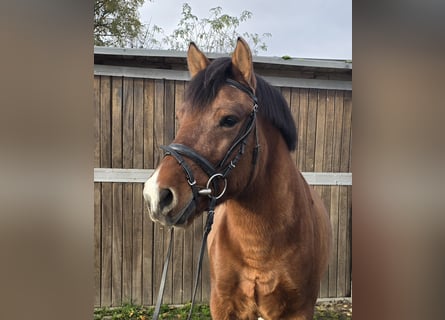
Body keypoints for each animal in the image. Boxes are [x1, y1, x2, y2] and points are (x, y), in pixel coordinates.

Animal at [144, 37, 332, 318]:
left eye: (229, 119)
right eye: (181, 117)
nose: (156, 195)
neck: (258, 246)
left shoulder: (299, 310)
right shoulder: (223, 305)